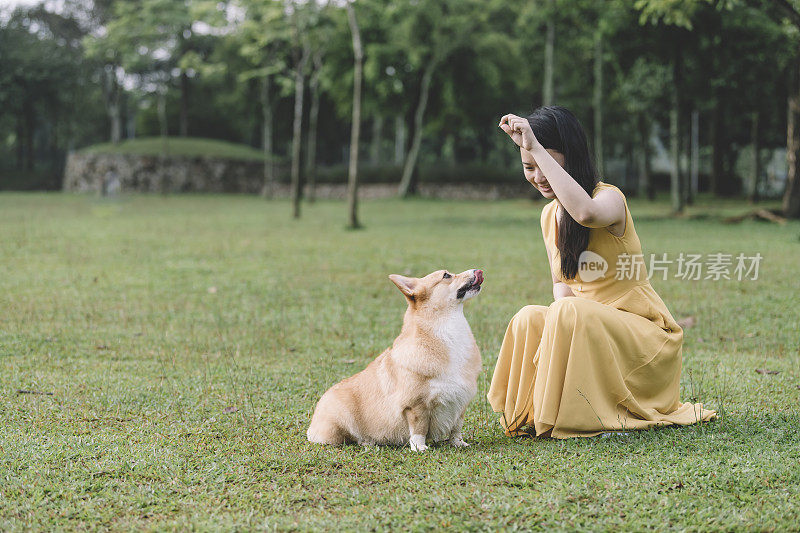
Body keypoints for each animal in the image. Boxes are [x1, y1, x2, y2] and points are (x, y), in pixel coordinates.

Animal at [304, 268, 482, 450]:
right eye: (446, 275)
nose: (477, 271)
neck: (448, 328)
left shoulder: (460, 403)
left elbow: (456, 429)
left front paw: (459, 443)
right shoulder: (416, 406)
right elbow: (419, 428)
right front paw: (419, 448)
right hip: (337, 428)